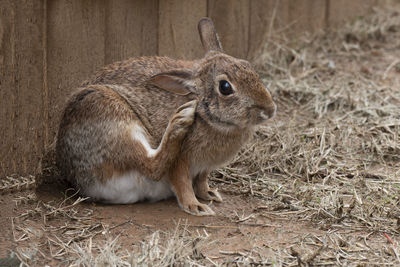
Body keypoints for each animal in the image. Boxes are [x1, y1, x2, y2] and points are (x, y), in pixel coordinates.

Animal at [55, 17, 276, 217]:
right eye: (225, 87)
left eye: (248, 66)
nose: (270, 109)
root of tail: (81, 181)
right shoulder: (181, 160)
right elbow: (182, 182)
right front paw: (195, 206)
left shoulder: (205, 167)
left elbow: (201, 180)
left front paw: (209, 194)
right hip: (111, 118)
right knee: (150, 165)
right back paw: (179, 121)